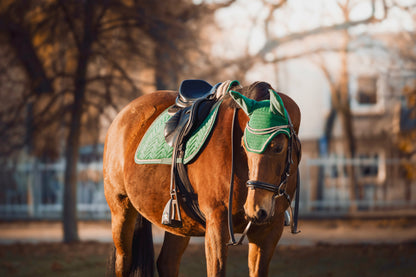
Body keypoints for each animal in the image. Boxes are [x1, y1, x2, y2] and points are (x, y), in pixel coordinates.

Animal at [102, 80, 300, 276]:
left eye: (278, 147)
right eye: (244, 145)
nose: (256, 209)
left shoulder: (268, 231)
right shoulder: (216, 223)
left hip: (179, 223)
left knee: (167, 262)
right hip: (121, 210)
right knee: (124, 261)